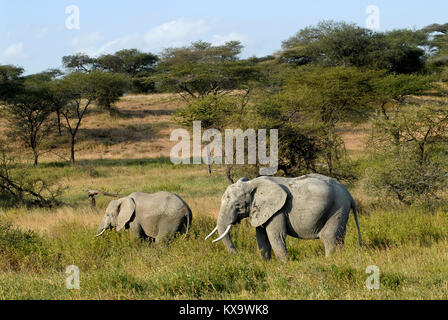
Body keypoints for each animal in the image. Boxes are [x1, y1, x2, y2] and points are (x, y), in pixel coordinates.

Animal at [206, 175, 360, 260]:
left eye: (237, 205)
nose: (238, 256)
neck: (252, 183)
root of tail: (349, 194)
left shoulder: (278, 211)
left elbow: (276, 236)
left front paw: (284, 264)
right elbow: (262, 239)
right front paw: (265, 264)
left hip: (337, 208)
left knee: (329, 238)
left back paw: (329, 260)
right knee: (338, 239)